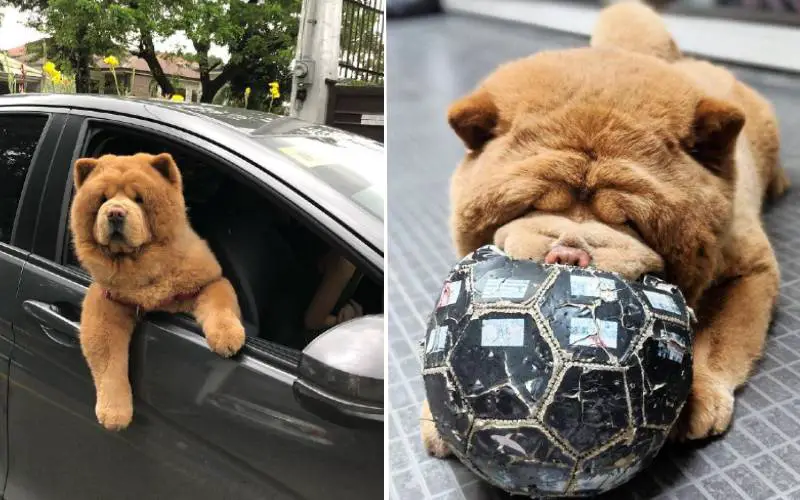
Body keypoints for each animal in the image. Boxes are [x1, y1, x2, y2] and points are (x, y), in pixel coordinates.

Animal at [70, 151, 245, 430]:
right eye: (103, 200)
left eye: (138, 199)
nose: (115, 212)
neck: (138, 265)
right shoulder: (107, 301)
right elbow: (107, 358)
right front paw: (114, 414)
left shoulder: (208, 281)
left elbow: (219, 303)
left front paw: (228, 338)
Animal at [422, 1, 792, 456]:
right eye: (531, 205)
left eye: (629, 222)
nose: (569, 254)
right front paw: (439, 417)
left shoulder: (748, 270)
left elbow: (720, 336)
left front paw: (697, 394)